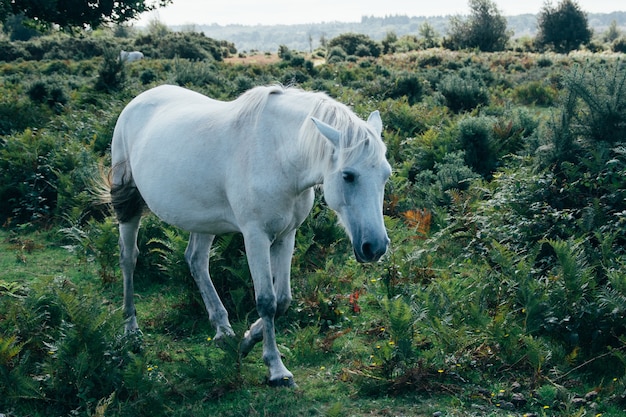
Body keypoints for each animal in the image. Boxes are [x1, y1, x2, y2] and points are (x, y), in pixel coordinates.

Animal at [108, 84, 390, 386]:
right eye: (348, 175)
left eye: (386, 174)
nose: (376, 247)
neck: (278, 156)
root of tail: (141, 98)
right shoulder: (255, 236)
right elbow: (267, 301)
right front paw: (276, 368)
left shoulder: (286, 235)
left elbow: (283, 300)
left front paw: (245, 341)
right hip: (128, 200)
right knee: (128, 258)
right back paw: (131, 329)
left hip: (204, 220)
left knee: (196, 260)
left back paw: (223, 329)